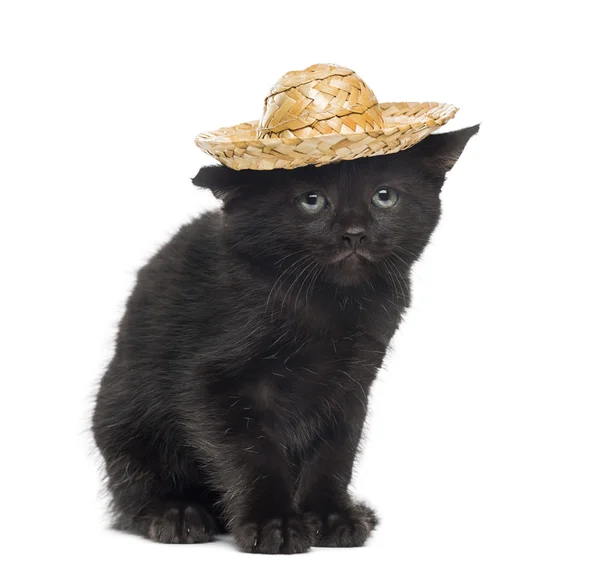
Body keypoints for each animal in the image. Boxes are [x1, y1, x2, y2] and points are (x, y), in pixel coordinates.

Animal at [92, 126, 478, 552]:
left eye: (384, 196)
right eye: (312, 200)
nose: (354, 234)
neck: (331, 306)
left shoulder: (352, 382)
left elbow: (335, 452)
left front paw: (330, 515)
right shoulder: (213, 382)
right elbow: (253, 453)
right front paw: (272, 523)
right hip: (123, 415)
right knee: (132, 492)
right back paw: (174, 514)